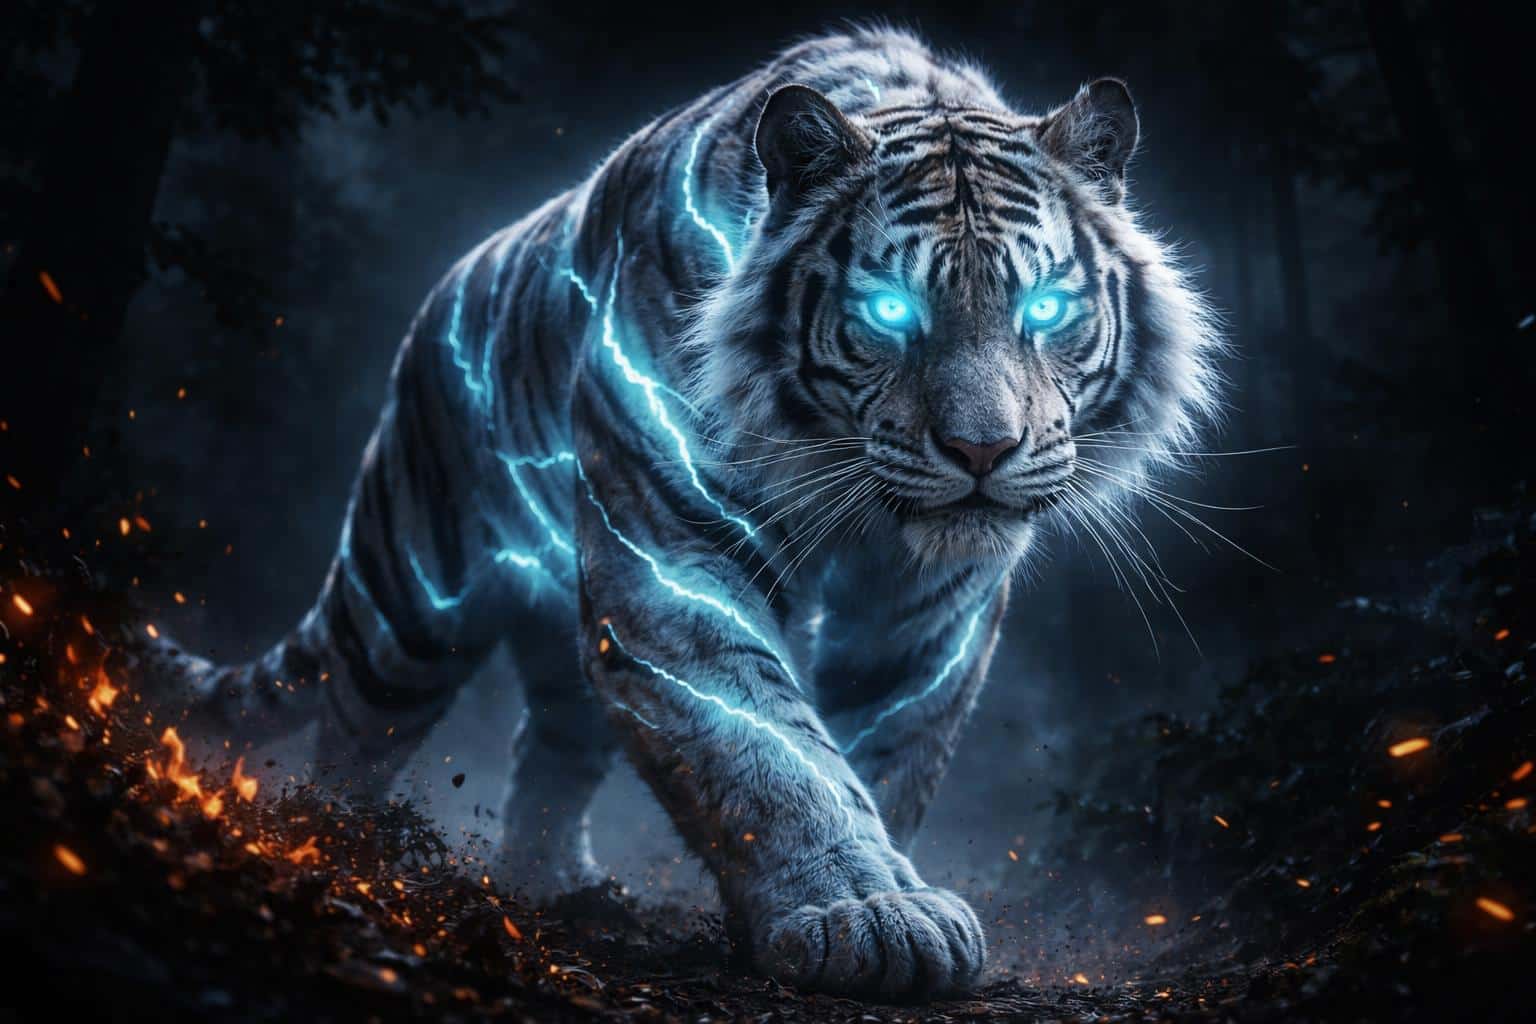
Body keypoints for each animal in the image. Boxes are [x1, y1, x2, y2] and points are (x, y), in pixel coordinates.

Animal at [139, 27, 1221, 1000]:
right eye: (887, 312)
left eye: (1045, 310)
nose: (983, 452)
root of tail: (438, 302)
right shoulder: (673, 554)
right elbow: (769, 747)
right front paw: (862, 912)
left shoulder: (926, 618)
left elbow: (885, 754)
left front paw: (869, 896)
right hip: (409, 602)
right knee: (353, 731)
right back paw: (340, 850)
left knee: (548, 750)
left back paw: (562, 887)